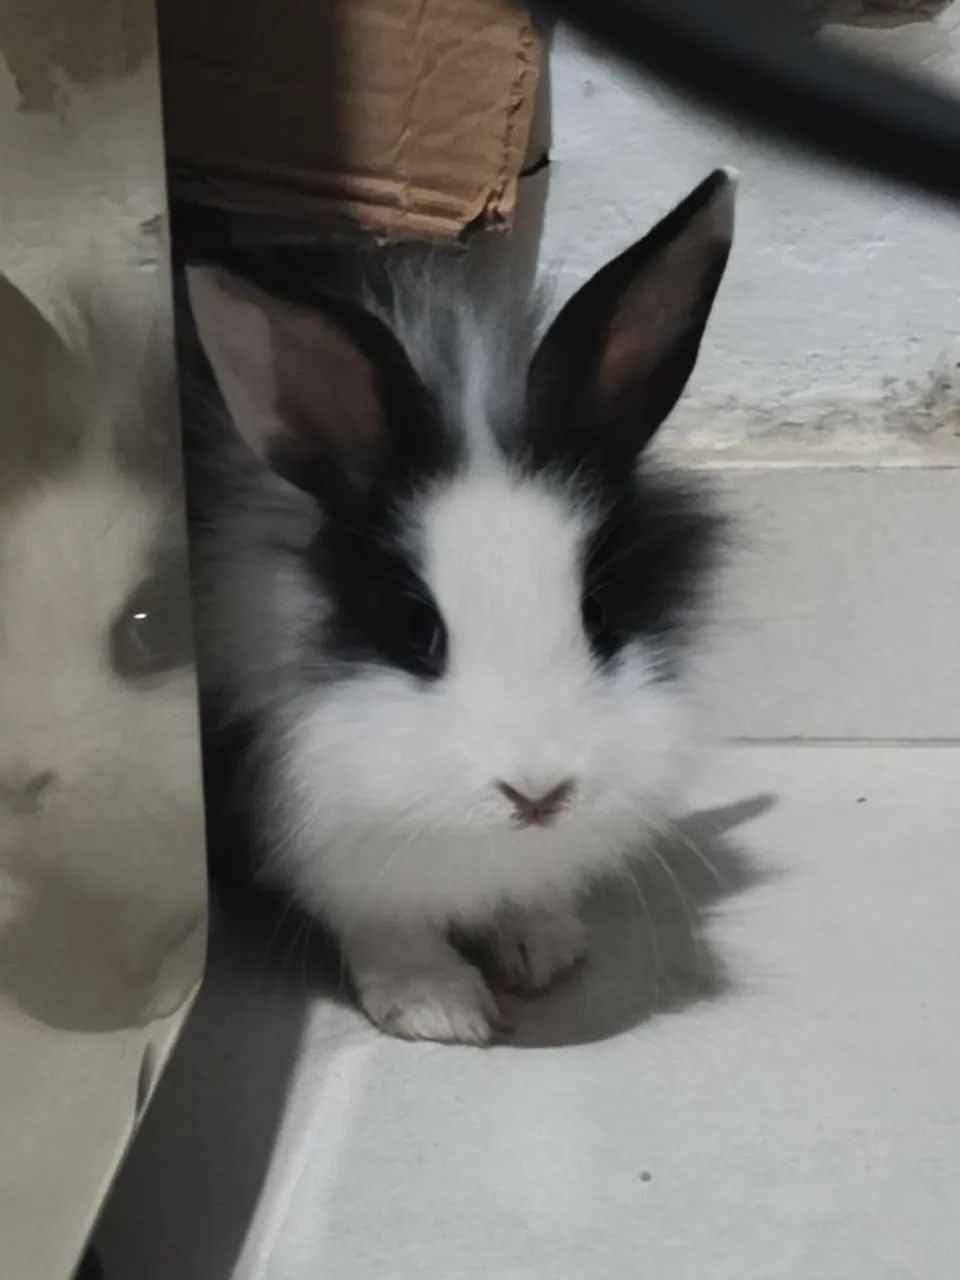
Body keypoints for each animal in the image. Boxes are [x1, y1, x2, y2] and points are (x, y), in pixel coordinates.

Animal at [183, 169, 736, 1045]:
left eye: (598, 614)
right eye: (419, 630)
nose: (539, 797)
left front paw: (543, 949)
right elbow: (381, 918)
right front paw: (439, 1010)